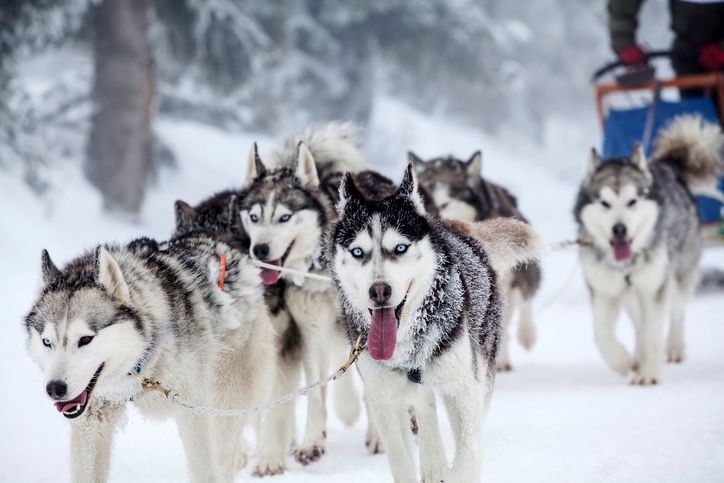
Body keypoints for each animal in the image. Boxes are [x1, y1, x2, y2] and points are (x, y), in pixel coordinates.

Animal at [24, 233, 274, 480]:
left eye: (85, 339)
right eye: (47, 342)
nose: (55, 389)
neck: (140, 365)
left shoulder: (193, 411)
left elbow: (204, 468)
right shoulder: (92, 420)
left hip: (224, 399)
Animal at [240, 124, 368, 466]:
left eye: (284, 217)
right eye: (254, 217)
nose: (260, 249)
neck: (322, 268)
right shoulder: (310, 332)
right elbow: (314, 392)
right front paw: (312, 441)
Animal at [576, 115, 720, 384]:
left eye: (632, 201)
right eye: (605, 203)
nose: (619, 229)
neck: (626, 265)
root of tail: (670, 168)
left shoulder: (654, 289)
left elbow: (654, 332)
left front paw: (649, 375)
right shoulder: (604, 291)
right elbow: (602, 334)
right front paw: (622, 361)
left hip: (677, 275)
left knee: (677, 313)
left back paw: (673, 348)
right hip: (632, 295)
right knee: (639, 325)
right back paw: (638, 355)